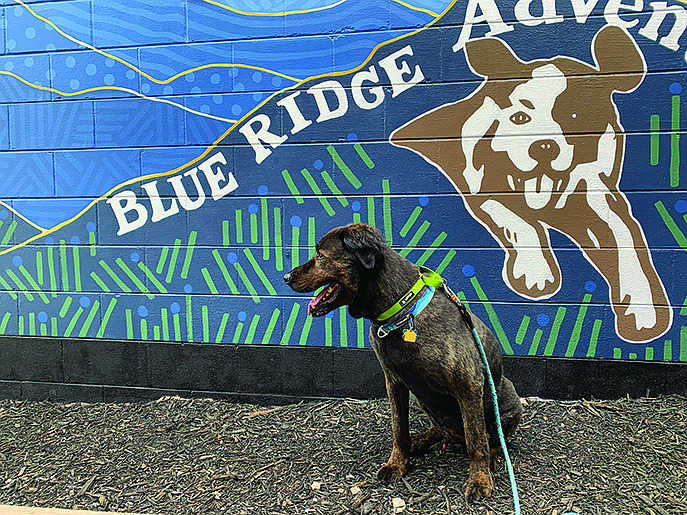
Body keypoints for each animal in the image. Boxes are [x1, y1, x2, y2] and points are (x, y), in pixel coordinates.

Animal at [284, 224, 520, 502]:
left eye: (320, 255)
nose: (286, 277)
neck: (400, 310)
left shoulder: (468, 384)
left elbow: (476, 440)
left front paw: (480, 480)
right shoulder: (394, 381)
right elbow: (399, 429)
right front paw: (397, 464)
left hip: (505, 397)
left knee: (493, 437)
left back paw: (493, 456)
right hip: (423, 398)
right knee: (439, 428)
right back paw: (422, 439)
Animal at [392, 26, 672, 344]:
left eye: (576, 117)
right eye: (519, 117)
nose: (544, 146)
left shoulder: (597, 196)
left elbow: (625, 241)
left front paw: (643, 308)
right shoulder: (483, 190)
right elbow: (517, 219)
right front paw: (535, 272)